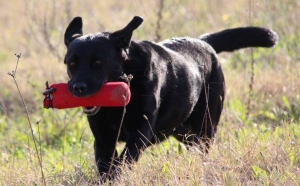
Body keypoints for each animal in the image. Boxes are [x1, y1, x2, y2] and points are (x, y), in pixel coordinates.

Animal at [62, 16, 276, 179]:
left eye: (97, 62)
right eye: (71, 64)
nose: (77, 88)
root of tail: (204, 43)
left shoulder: (139, 133)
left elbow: (122, 162)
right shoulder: (103, 138)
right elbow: (106, 165)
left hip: (206, 126)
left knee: (203, 148)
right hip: (184, 131)